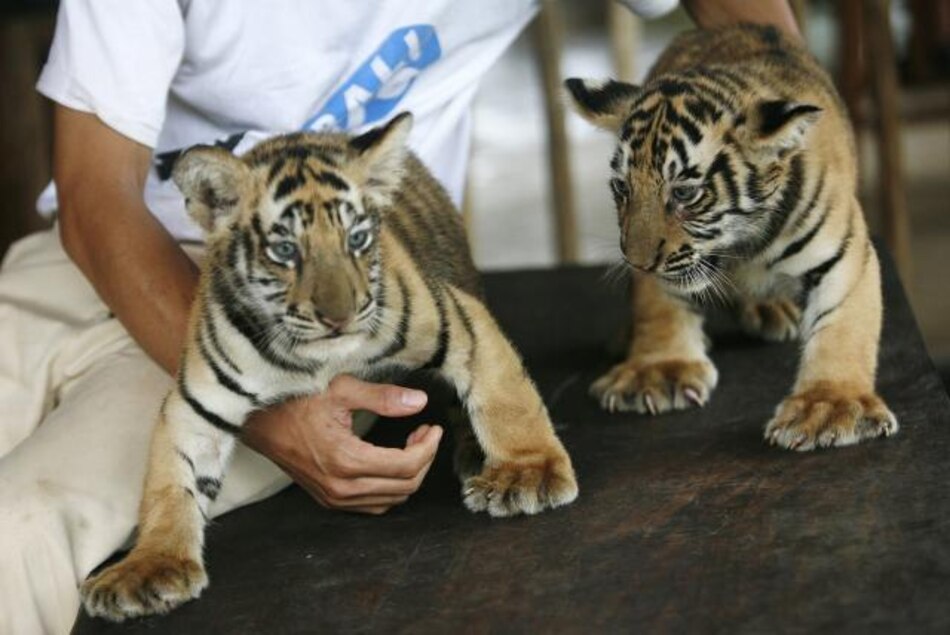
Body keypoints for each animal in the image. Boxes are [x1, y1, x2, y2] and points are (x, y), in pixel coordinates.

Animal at [80, 112, 578, 621]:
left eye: (356, 239)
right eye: (285, 251)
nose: (339, 316)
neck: (316, 357)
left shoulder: (457, 320)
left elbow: (505, 397)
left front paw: (527, 474)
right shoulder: (196, 404)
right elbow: (168, 484)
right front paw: (148, 567)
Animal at [565, 24, 898, 451]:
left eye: (684, 193)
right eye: (622, 188)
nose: (637, 263)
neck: (741, 246)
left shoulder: (844, 253)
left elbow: (844, 324)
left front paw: (829, 405)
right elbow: (658, 309)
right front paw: (659, 370)